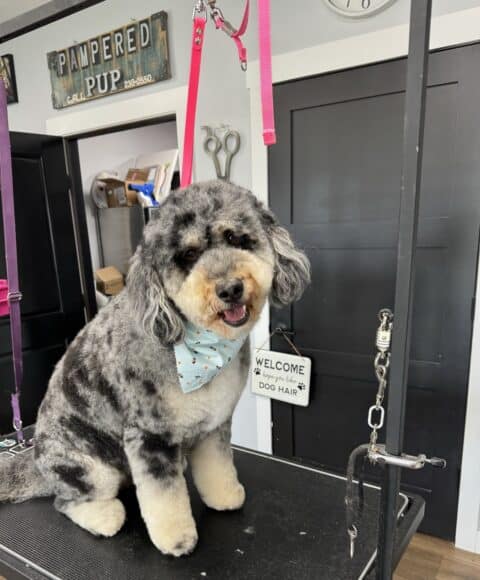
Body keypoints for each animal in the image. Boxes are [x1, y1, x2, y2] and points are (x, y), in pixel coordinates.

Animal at [0, 181, 312, 556]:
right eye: (188, 255)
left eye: (236, 238)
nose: (230, 289)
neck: (200, 347)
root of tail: (35, 462)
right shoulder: (149, 436)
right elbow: (164, 497)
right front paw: (176, 539)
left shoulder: (213, 424)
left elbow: (217, 465)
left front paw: (225, 496)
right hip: (86, 466)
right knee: (68, 501)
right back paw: (105, 517)